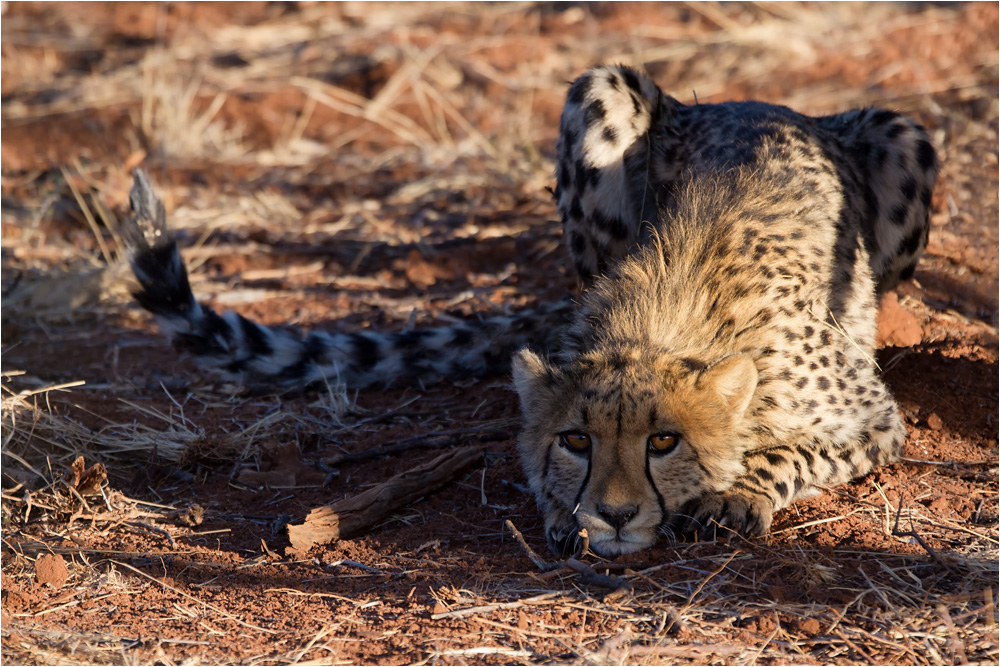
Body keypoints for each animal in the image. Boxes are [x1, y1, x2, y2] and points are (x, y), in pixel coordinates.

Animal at [123, 66, 936, 560]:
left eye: (664, 441)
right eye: (576, 440)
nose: (614, 514)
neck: (661, 324)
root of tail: (755, 101)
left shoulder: (874, 420)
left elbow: (792, 451)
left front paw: (734, 492)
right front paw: (561, 510)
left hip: (904, 137)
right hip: (602, 91)